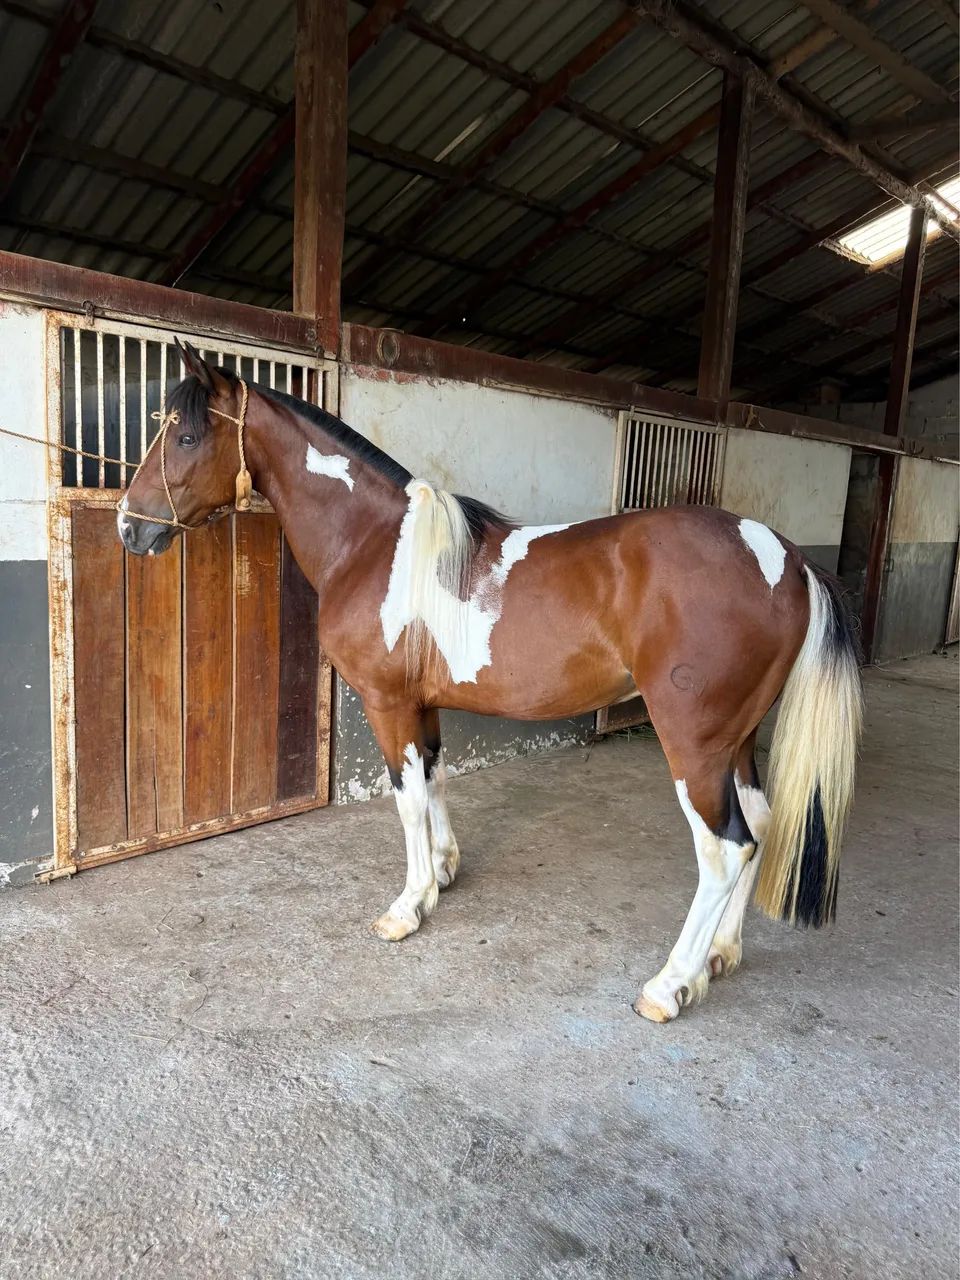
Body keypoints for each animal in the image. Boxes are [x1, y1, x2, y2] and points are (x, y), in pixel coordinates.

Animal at [117, 341, 862, 1023]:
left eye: (186, 435)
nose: (129, 526)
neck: (373, 544)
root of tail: (788, 559)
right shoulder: (424, 705)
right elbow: (435, 778)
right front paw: (443, 872)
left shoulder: (387, 704)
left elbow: (407, 800)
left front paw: (407, 907)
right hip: (737, 740)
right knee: (760, 826)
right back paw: (721, 956)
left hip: (693, 744)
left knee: (725, 848)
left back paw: (669, 985)